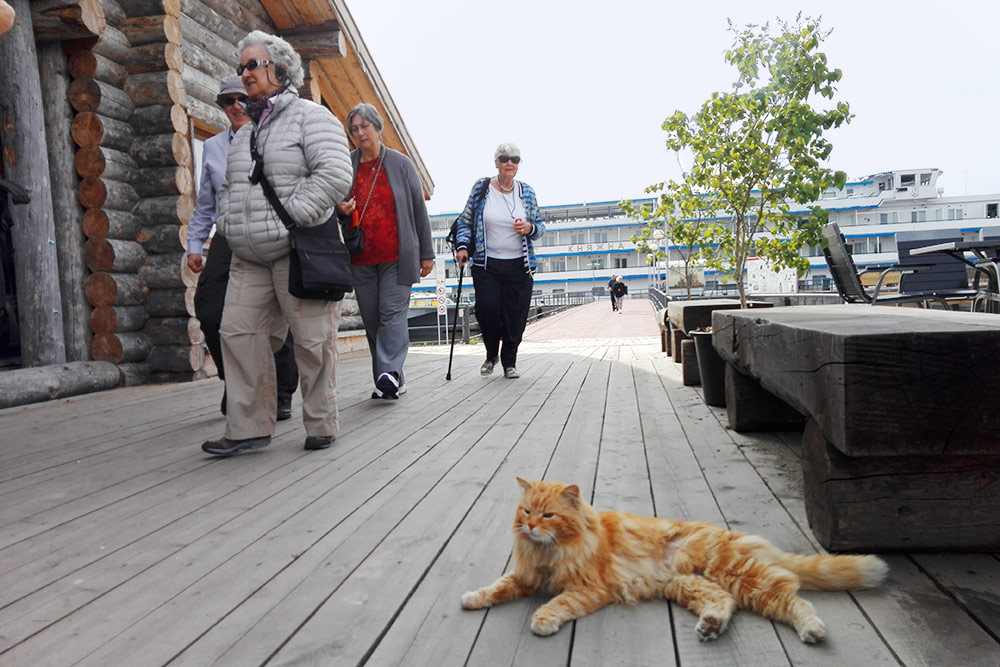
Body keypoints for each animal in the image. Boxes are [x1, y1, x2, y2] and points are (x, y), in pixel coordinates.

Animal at [458, 478, 888, 644]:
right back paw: (710, 627)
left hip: (739, 575)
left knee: (792, 599)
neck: (549, 551)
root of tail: (735, 536)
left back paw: (811, 629)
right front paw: (472, 598)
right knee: (724, 603)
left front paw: (543, 621)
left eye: (548, 516)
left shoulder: (587, 588)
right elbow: (496, 586)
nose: (530, 526)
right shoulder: (526, 576)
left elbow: (557, 604)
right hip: (689, 584)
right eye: (526, 511)